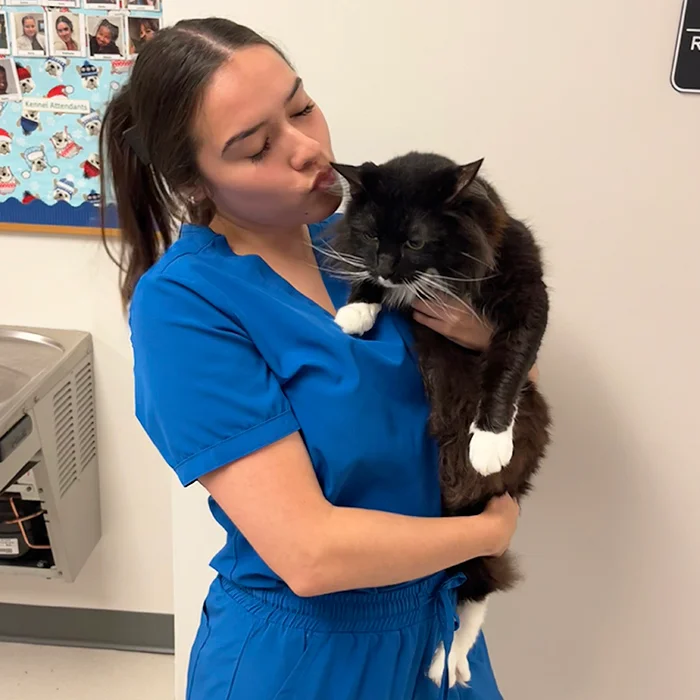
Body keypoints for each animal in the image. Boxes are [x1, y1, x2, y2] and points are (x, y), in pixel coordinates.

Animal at [324, 154, 552, 688]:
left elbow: (508, 368)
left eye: (413, 241)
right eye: (370, 235)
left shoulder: (528, 297)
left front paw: (489, 442)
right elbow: (366, 284)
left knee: (474, 593)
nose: (387, 269)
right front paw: (356, 310)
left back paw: (448, 663)